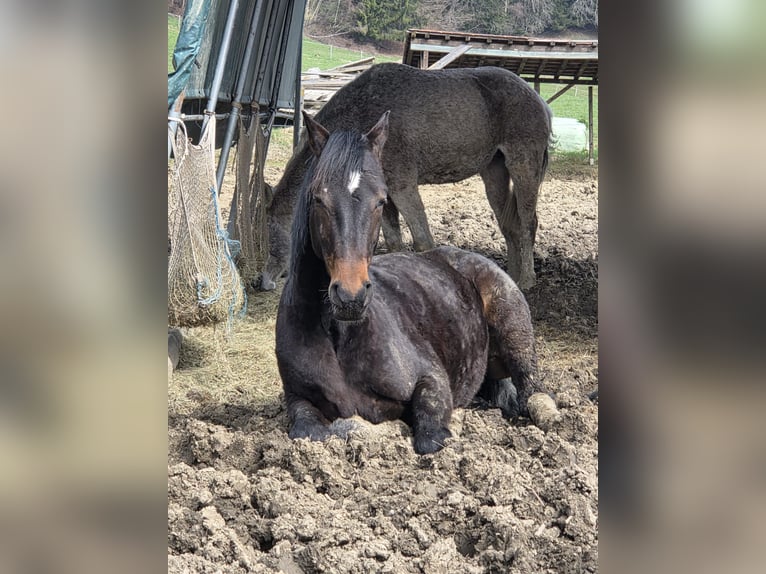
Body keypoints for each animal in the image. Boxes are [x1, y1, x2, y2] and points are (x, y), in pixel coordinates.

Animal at [261, 63, 552, 293]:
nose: (262, 282)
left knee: (528, 223)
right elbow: (393, 242)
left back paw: (526, 279)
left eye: (266, 236)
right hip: (494, 172)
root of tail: (540, 101)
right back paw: (511, 277)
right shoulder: (383, 196)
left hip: (524, 165)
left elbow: (423, 242)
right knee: (509, 225)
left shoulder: (403, 186)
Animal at [275, 110, 542, 455]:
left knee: (531, 392)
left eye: (381, 200)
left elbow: (429, 434)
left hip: (515, 333)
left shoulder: (431, 380)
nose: (350, 297)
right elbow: (310, 429)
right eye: (318, 198)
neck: (339, 337)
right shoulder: (298, 401)